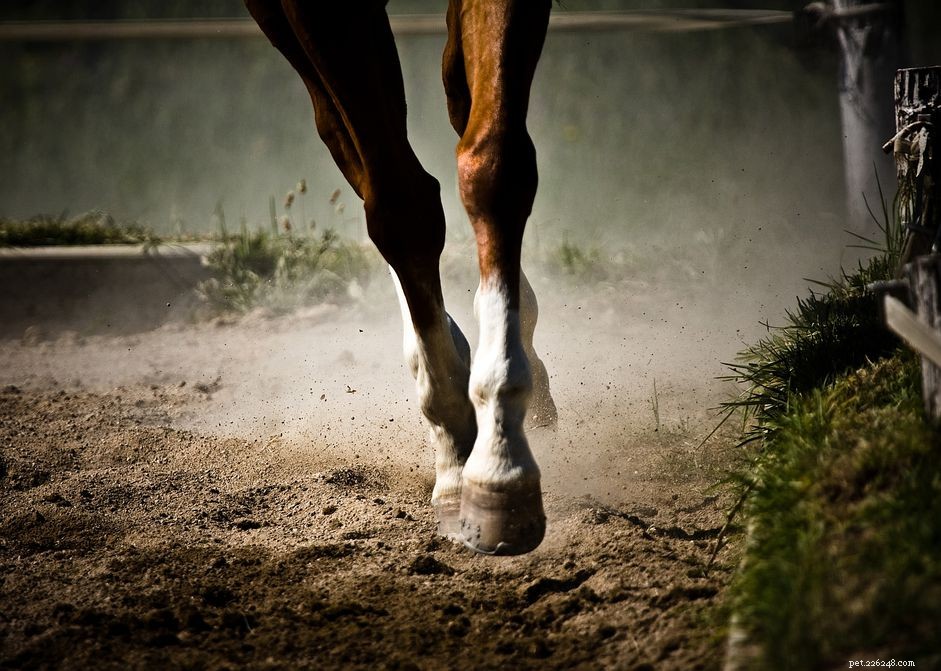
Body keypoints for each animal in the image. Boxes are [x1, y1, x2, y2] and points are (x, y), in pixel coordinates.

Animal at [245, 0, 556, 555]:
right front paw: (457, 457)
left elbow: (494, 165)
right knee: (347, 145)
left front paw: (501, 463)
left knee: (456, 98)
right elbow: (400, 208)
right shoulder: (316, 14)